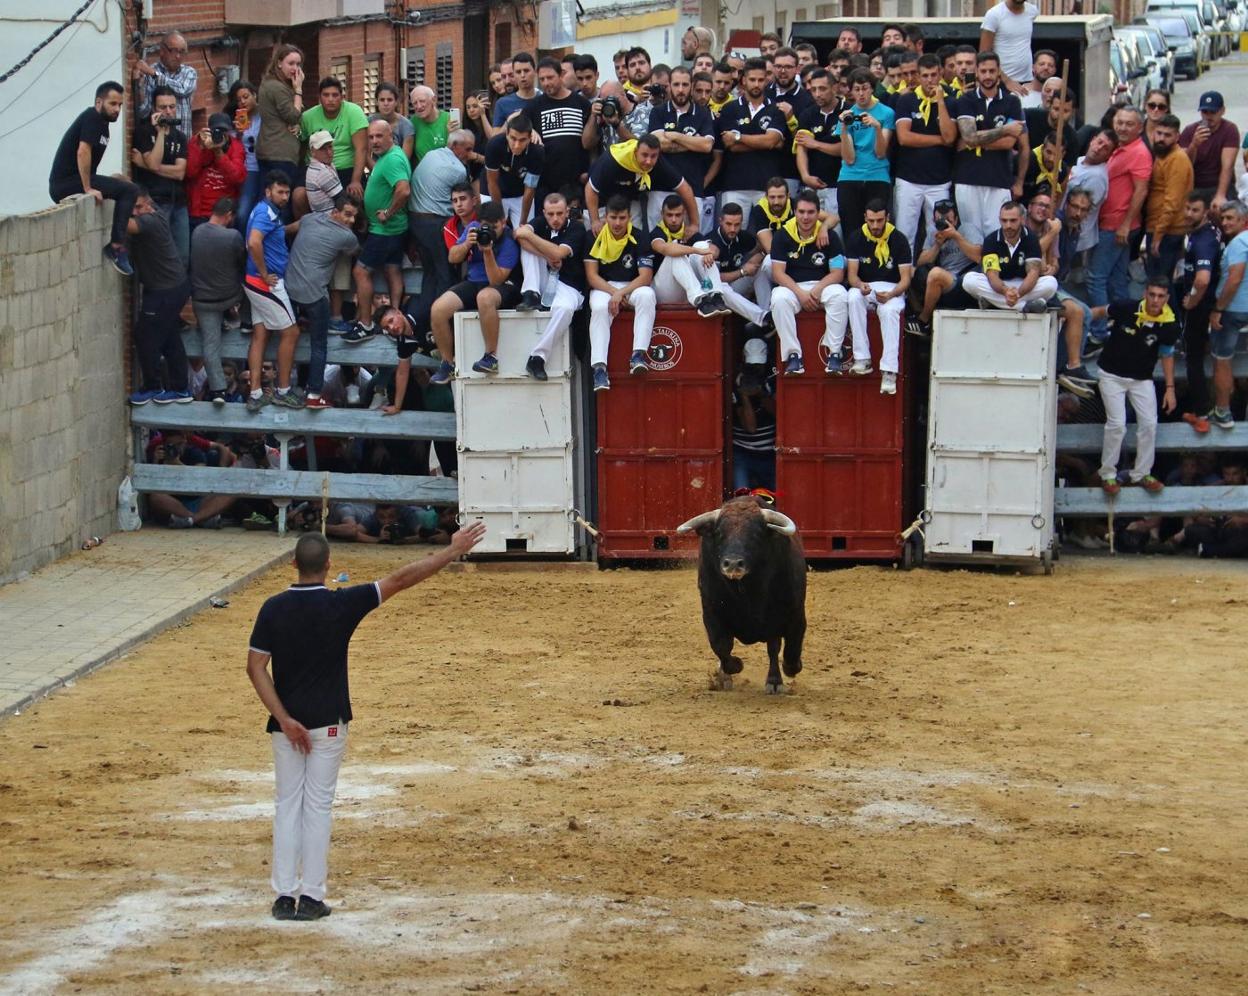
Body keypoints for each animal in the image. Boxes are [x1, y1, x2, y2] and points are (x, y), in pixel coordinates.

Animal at [673, 496, 808, 693]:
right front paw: (733, 668)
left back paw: (774, 681)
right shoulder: (711, 613)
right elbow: (721, 646)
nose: (733, 564)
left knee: (774, 648)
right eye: (719, 533)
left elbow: (789, 649)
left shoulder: (794, 614)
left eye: (757, 534)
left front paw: (788, 670)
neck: (747, 591)